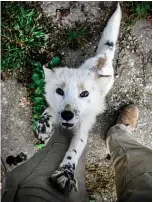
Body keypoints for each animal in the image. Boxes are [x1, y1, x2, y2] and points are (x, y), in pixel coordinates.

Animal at [36, 3, 122, 193]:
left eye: (84, 94)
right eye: (59, 91)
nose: (67, 115)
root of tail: (103, 57)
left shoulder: (83, 130)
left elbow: (74, 151)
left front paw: (66, 173)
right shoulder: (55, 108)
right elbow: (50, 110)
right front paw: (44, 125)